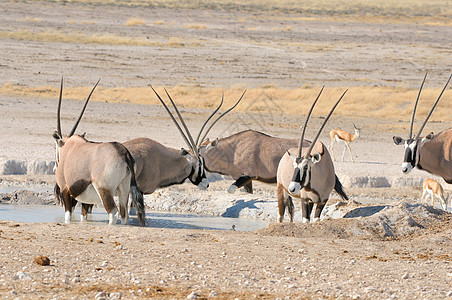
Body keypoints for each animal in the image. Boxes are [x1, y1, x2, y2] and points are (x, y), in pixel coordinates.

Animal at [52, 78, 145, 226]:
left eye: (54, 148)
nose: (55, 168)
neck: (69, 147)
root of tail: (124, 153)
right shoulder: (86, 199)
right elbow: (83, 217)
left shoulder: (65, 189)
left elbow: (68, 217)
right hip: (124, 190)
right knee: (124, 215)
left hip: (104, 189)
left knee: (113, 212)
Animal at [276, 86, 350, 223]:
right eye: (294, 166)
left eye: (306, 166)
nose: (292, 188)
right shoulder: (305, 200)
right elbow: (306, 220)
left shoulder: (322, 201)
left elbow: (315, 220)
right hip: (281, 189)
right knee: (280, 215)